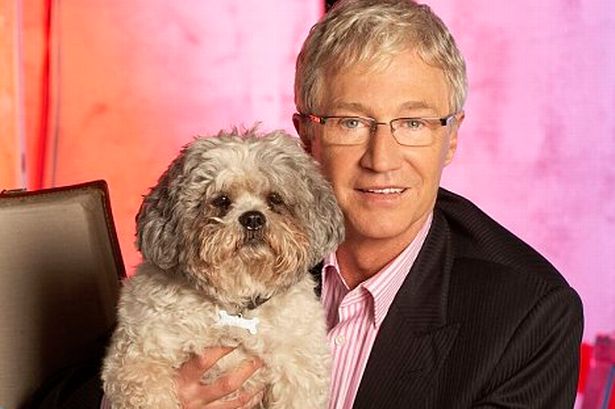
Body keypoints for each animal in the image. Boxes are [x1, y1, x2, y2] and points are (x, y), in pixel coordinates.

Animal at [100, 126, 342, 406]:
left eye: (275, 199)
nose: (253, 218)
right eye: (221, 200)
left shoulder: (299, 371)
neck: (236, 306)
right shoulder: (136, 360)